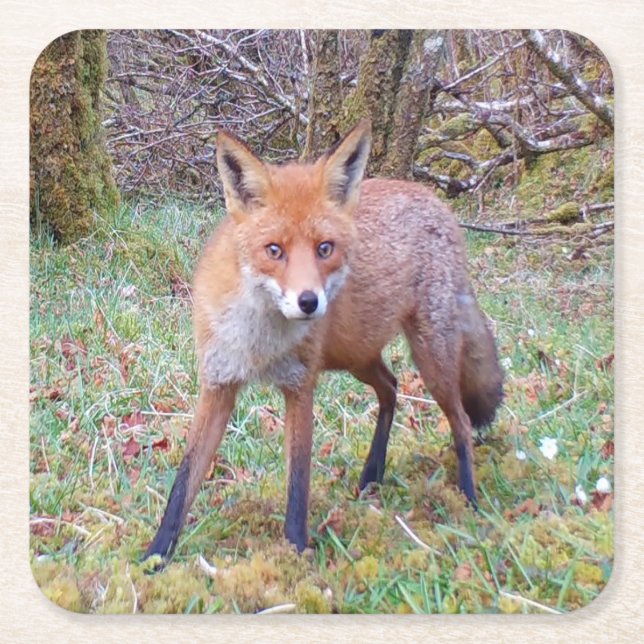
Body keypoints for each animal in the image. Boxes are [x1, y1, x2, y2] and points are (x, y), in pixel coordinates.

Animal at [144, 119, 503, 562]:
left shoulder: (300, 386)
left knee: (462, 422)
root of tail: (435, 202)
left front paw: (296, 553)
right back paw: (372, 474)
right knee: (391, 388)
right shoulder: (218, 383)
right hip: (357, 356)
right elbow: (184, 479)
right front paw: (155, 557)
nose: (310, 302)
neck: (260, 341)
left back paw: (469, 498)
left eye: (324, 248)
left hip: (429, 358)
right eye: (274, 250)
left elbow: (298, 481)